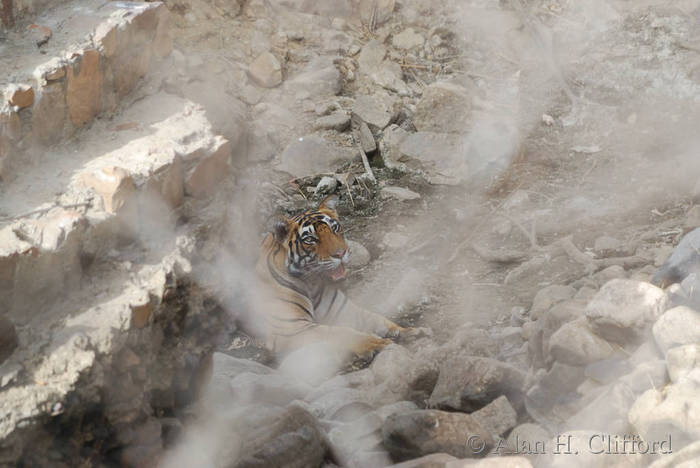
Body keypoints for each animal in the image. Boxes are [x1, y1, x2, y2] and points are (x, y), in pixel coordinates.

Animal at [253, 194, 420, 357]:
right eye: (310, 239)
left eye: (334, 228)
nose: (341, 253)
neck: (311, 283)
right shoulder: (292, 328)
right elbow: (340, 332)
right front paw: (376, 343)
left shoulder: (345, 311)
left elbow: (377, 319)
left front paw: (408, 331)